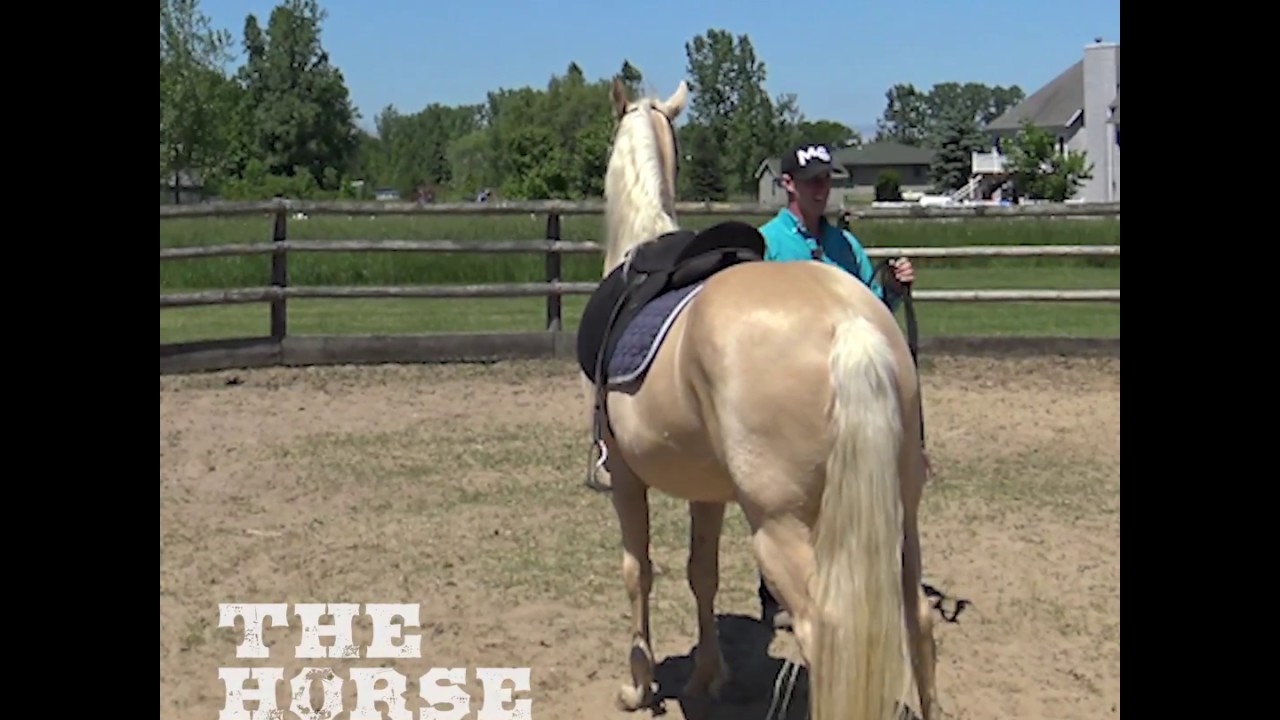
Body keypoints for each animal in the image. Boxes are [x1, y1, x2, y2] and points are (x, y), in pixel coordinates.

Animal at [578, 76, 940, 720]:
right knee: (917, 619)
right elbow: (701, 572)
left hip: (781, 529)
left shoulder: (622, 473)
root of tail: (851, 324)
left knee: (825, 634)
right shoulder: (707, 490)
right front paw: (708, 678)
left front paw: (639, 685)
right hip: (899, 513)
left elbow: (636, 569)